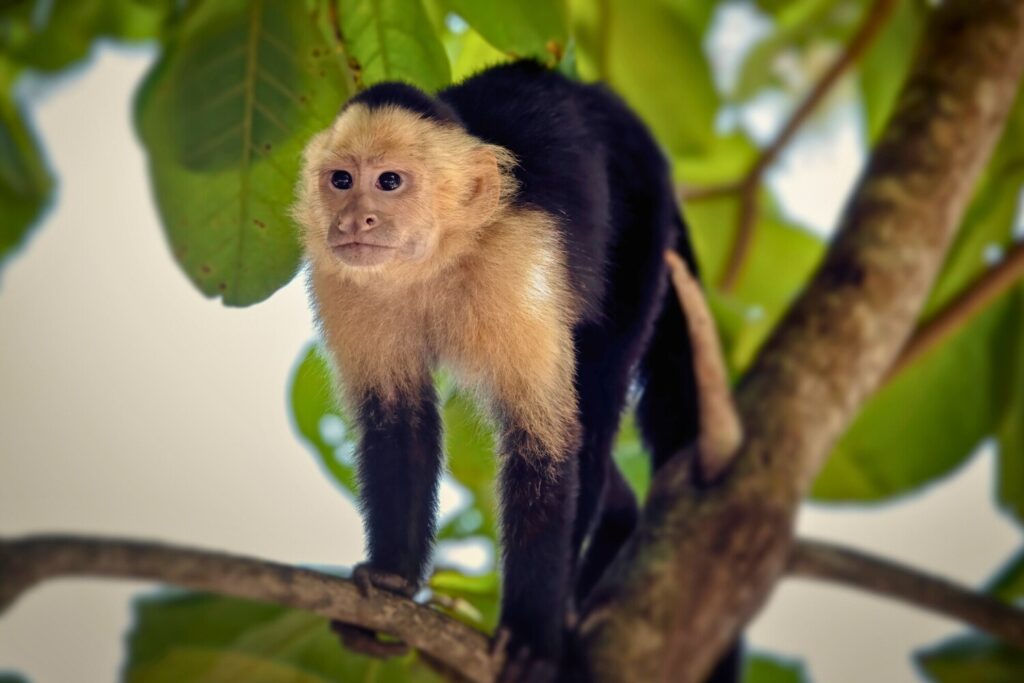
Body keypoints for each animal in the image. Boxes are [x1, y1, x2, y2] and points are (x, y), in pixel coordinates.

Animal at [293, 60, 703, 679]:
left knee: (597, 396)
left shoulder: (518, 265)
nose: (353, 218)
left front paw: (531, 635)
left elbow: (545, 442)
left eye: (389, 182)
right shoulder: (343, 283)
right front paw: (392, 581)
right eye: (340, 180)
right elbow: (398, 423)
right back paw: (619, 517)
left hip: (643, 218)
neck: (435, 260)